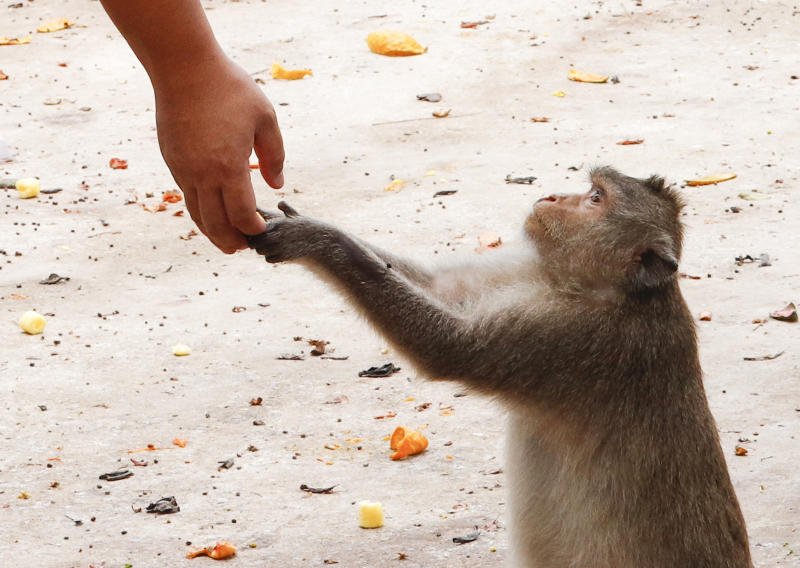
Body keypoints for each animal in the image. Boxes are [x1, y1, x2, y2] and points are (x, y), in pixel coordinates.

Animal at [248, 167, 751, 568]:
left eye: (595, 198)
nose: (552, 196)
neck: (607, 288)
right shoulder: (527, 276)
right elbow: (443, 289)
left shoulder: (574, 338)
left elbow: (447, 347)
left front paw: (318, 239)